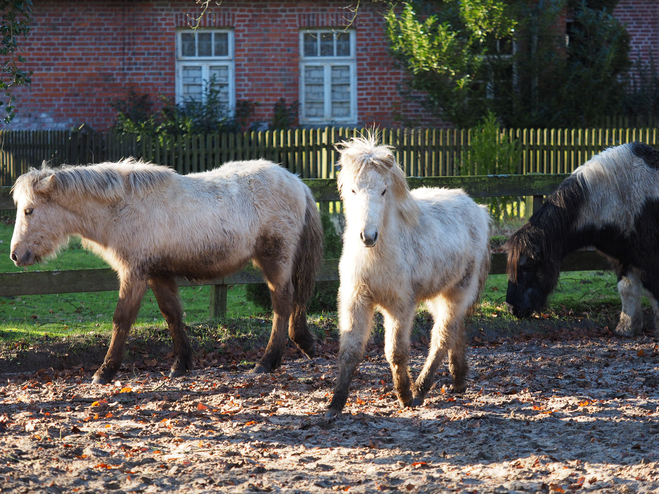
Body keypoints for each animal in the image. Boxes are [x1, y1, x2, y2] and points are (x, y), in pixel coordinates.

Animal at [10, 158, 324, 382]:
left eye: (29, 210)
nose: (15, 255)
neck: (123, 207)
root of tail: (297, 182)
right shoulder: (157, 274)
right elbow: (172, 315)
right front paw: (181, 364)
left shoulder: (134, 273)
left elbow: (121, 319)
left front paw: (105, 371)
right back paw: (300, 346)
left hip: (276, 259)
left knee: (282, 304)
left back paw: (267, 361)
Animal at [328, 136, 490, 416]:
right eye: (353, 190)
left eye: (384, 191)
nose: (368, 236)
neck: (375, 258)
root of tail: (477, 209)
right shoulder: (356, 301)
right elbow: (349, 351)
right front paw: (335, 404)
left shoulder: (400, 306)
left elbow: (396, 352)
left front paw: (403, 395)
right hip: (438, 294)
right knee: (454, 330)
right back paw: (458, 381)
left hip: (458, 291)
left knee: (441, 337)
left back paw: (421, 390)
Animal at [508, 141, 659, 338]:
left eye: (527, 267)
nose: (512, 308)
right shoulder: (624, 257)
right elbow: (627, 290)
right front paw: (626, 329)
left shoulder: (649, 258)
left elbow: (653, 291)